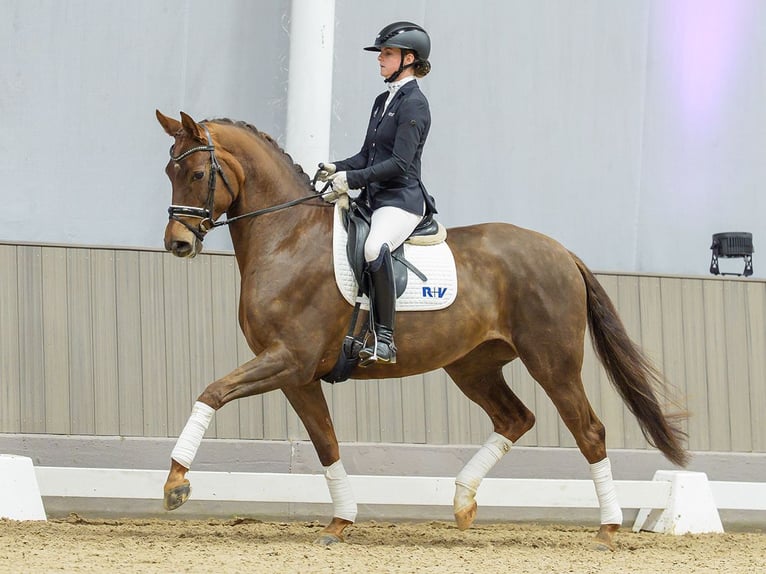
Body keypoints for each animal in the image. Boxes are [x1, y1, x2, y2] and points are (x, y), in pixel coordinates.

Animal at [156, 110, 688, 550]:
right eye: (169, 172)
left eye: (198, 174)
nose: (177, 244)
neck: (287, 238)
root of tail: (562, 252)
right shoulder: (298, 375)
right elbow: (326, 443)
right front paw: (340, 522)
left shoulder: (288, 359)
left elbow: (211, 392)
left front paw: (176, 483)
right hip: (473, 366)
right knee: (516, 418)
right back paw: (462, 502)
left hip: (552, 363)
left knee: (588, 431)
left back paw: (608, 528)